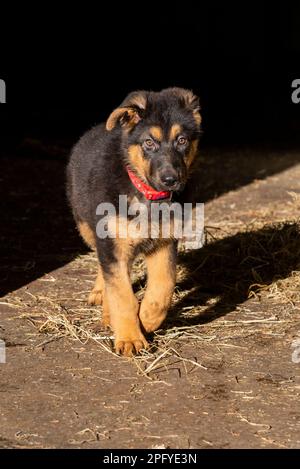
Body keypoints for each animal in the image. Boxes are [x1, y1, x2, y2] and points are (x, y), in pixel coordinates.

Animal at [66, 88, 202, 356]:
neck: (147, 195)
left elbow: (162, 289)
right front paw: (129, 338)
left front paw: (147, 320)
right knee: (105, 267)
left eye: (182, 140)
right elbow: (122, 296)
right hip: (87, 227)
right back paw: (102, 298)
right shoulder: (112, 243)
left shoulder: (164, 244)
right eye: (149, 142)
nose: (171, 180)